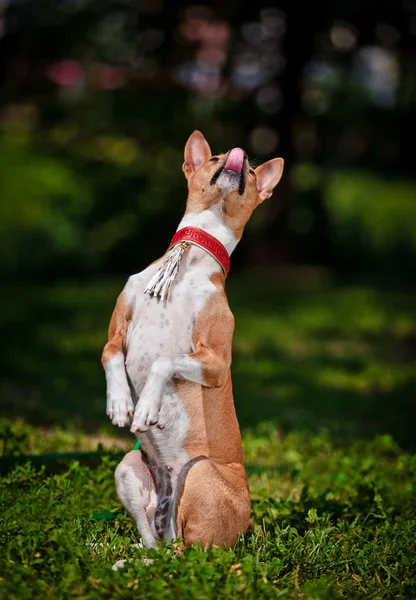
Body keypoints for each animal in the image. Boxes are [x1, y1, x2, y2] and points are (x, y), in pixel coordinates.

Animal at [101, 130, 282, 548]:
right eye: (215, 157)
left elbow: (163, 361)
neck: (189, 259)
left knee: (194, 555)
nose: (238, 153)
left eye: (251, 172)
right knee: (156, 547)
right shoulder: (115, 335)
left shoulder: (214, 360)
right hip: (128, 468)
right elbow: (111, 357)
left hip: (198, 472)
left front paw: (146, 406)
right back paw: (123, 555)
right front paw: (120, 403)